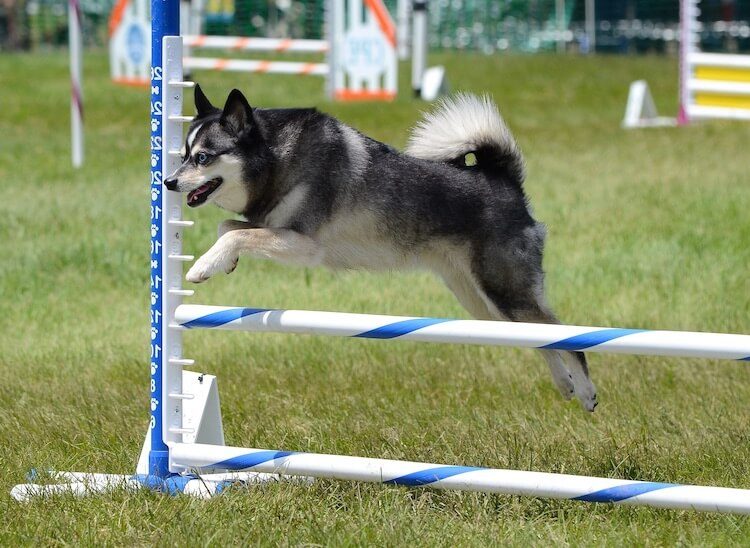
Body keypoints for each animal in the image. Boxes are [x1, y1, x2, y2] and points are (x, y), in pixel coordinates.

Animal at [164, 84, 600, 412]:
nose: (168, 182)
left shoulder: (304, 245)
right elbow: (227, 227)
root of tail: (504, 180)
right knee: (538, 337)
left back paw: (586, 392)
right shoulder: (274, 229)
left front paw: (202, 267)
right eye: (182, 155)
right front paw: (223, 262)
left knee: (565, 335)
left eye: (203, 158)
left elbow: (234, 232)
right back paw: (565, 385)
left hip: (504, 290)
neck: (274, 158)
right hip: (482, 303)